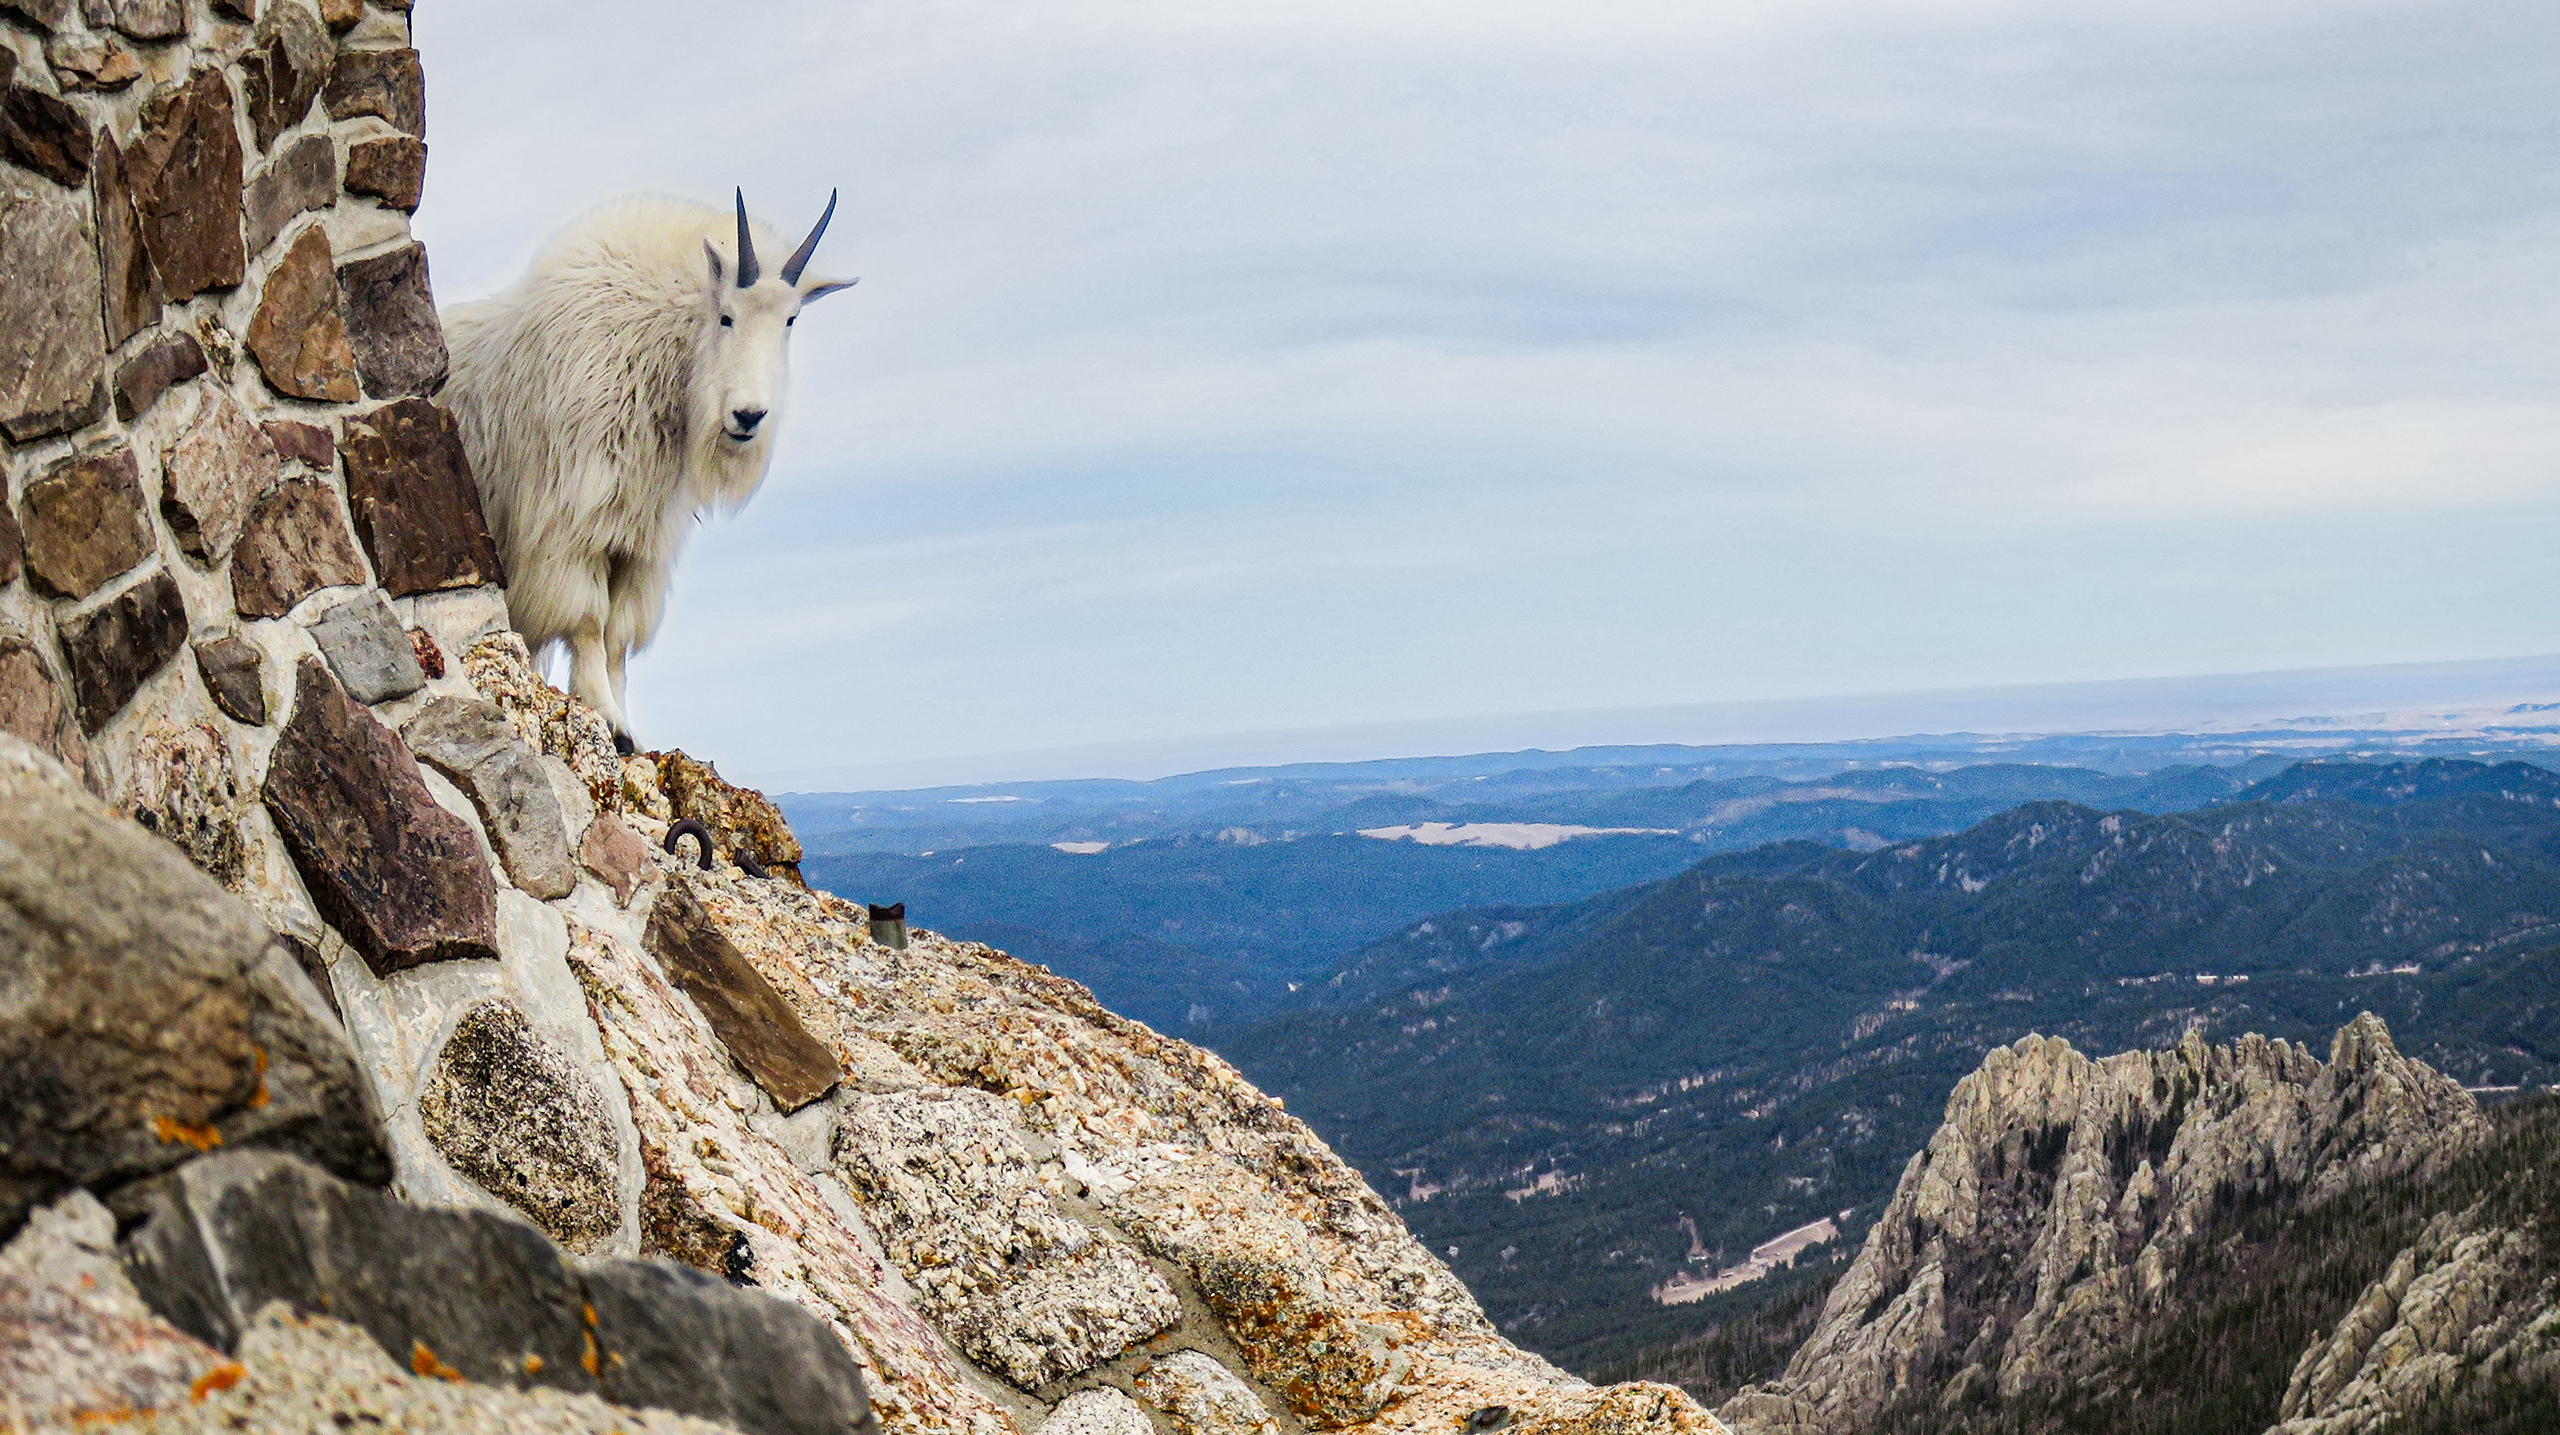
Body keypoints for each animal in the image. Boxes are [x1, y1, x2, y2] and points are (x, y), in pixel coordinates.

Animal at [440, 191, 853, 751]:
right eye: (726, 316)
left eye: (790, 320)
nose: (748, 416)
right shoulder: (574, 526)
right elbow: (589, 622)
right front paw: (607, 720)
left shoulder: (640, 543)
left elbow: (618, 636)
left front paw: (628, 729)